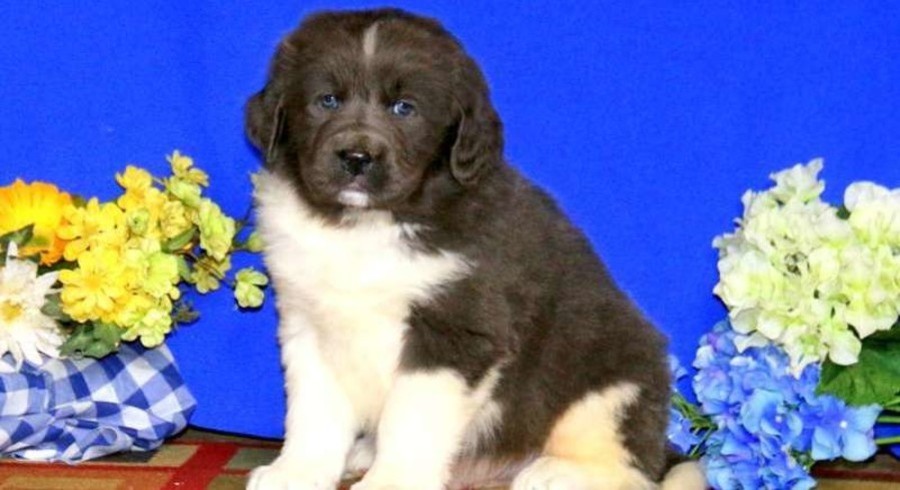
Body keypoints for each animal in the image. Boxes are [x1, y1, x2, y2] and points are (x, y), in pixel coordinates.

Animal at [244, 7, 704, 490]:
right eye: (327, 101)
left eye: (404, 108)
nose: (356, 158)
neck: (366, 227)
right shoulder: (309, 325)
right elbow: (313, 414)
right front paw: (296, 471)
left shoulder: (454, 331)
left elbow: (410, 418)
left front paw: (392, 481)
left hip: (612, 374)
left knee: (631, 466)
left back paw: (557, 471)